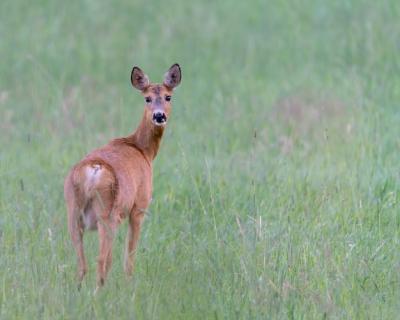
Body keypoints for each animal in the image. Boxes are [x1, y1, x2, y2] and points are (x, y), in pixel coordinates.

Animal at [63, 62, 181, 288]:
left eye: (168, 96)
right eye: (147, 98)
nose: (159, 116)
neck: (143, 150)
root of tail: (93, 170)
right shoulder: (139, 206)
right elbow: (129, 255)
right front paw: (130, 284)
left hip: (73, 211)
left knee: (82, 265)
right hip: (107, 215)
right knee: (101, 261)